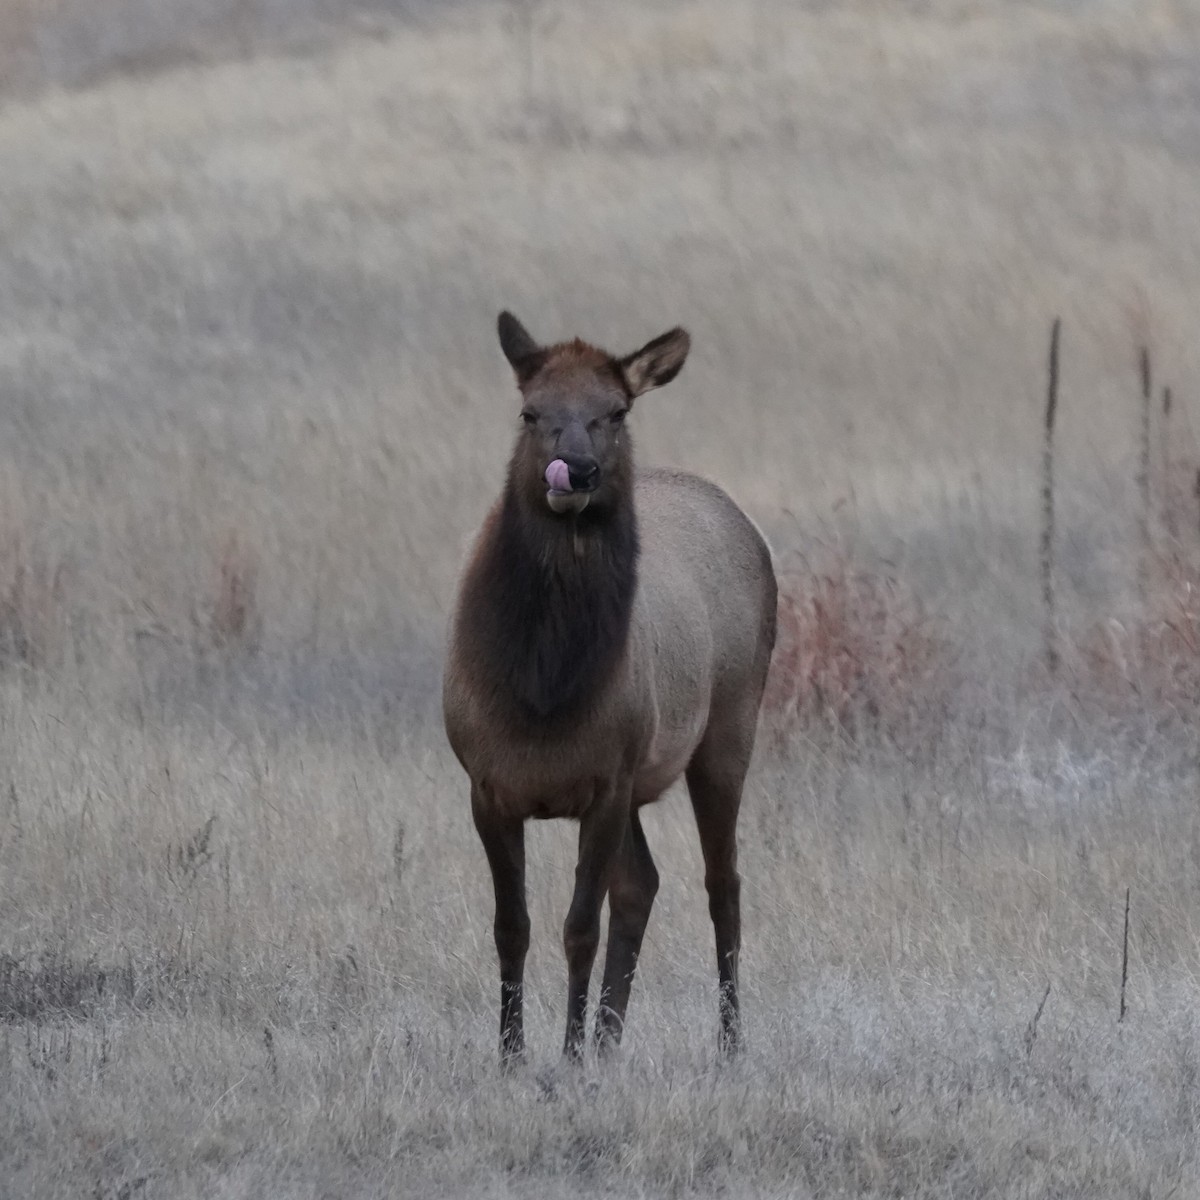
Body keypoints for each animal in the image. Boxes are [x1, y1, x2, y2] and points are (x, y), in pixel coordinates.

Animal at [443, 312, 777, 1063]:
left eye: (616, 411)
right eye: (530, 410)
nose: (577, 470)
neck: (543, 694)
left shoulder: (606, 782)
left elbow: (578, 928)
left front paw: (566, 1056)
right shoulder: (487, 785)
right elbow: (512, 926)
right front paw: (512, 1056)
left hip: (727, 728)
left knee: (722, 881)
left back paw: (729, 1043)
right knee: (641, 884)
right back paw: (609, 1040)